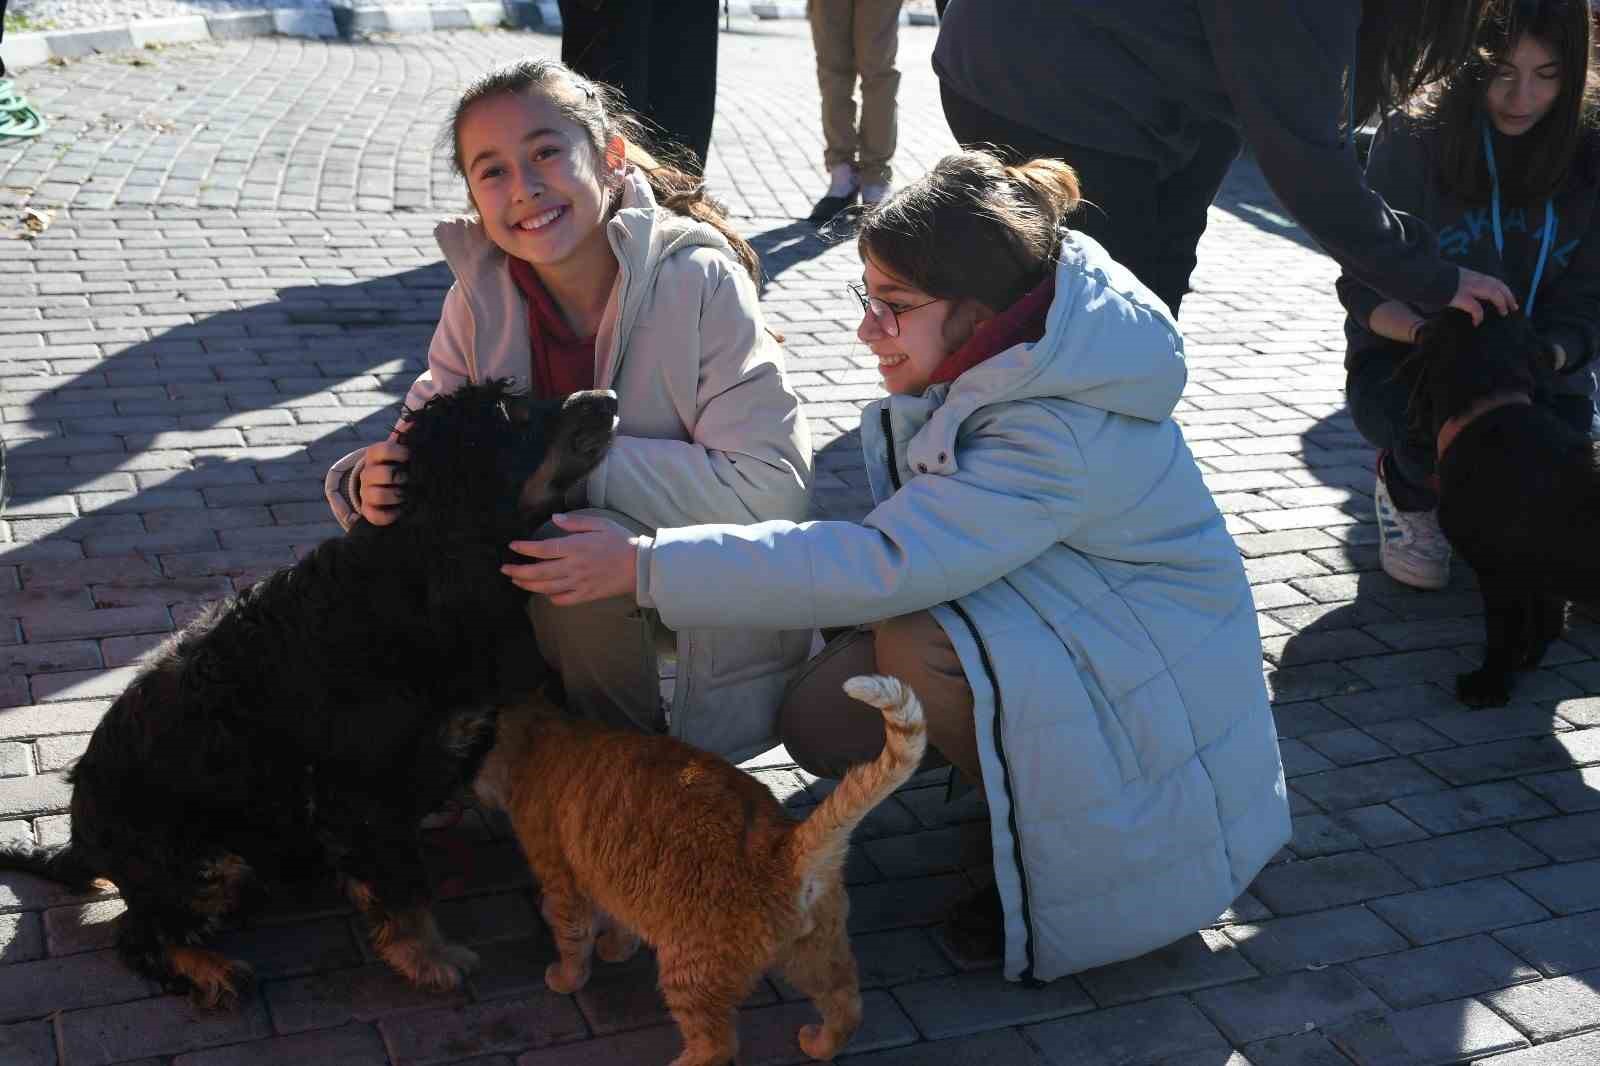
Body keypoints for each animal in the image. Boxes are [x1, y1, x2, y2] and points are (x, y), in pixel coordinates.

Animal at [0, 382, 617, 1005]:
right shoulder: (364, 786)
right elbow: (404, 884)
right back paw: (214, 969)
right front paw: (430, 956)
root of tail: (81, 835)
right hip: (195, 856)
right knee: (141, 934)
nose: (607, 397)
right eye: (515, 416)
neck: (416, 573)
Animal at [473, 672, 928, 1062]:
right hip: (815, 954)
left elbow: (572, 941)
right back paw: (820, 1044)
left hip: (688, 971)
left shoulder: (564, 884)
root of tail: (786, 844)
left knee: (717, 1045)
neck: (543, 738)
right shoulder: (608, 881)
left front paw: (567, 977)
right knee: (846, 1003)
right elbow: (619, 923)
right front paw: (617, 949)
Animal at [1414, 307, 1600, 704]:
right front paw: (1526, 663)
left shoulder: (1499, 573)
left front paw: (1486, 686)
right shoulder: (1540, 578)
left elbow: (1502, 633)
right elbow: (1542, 623)